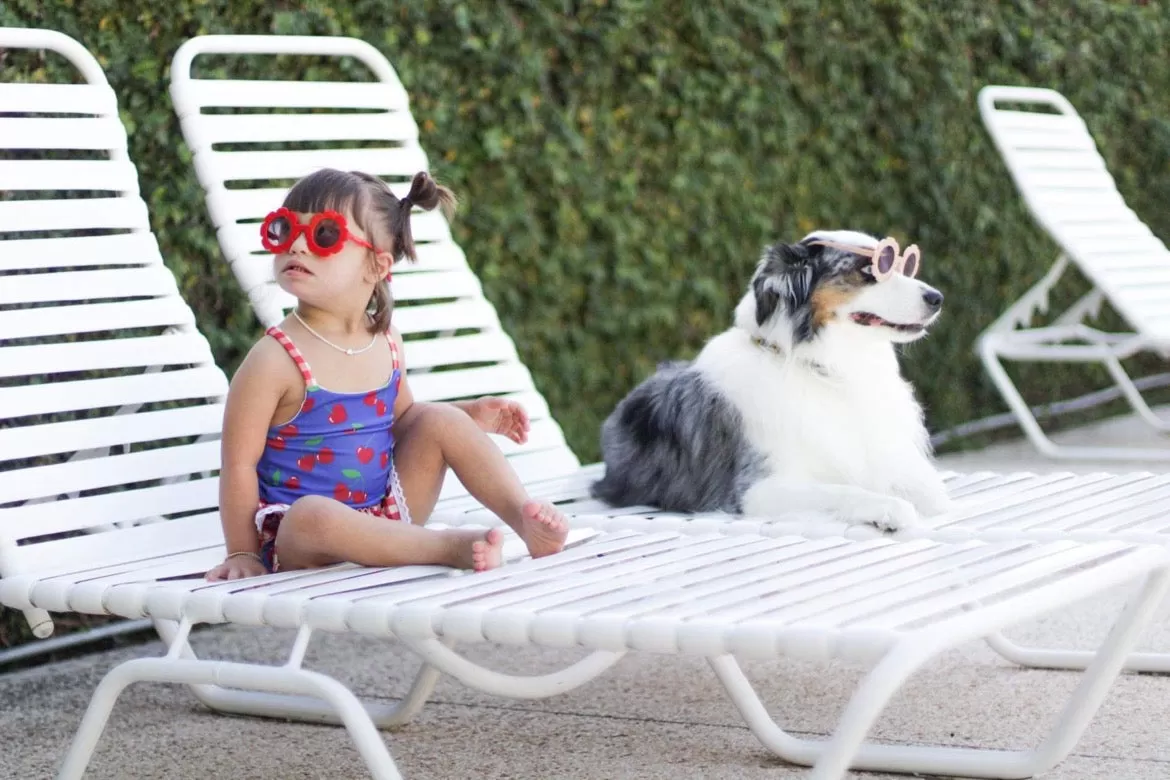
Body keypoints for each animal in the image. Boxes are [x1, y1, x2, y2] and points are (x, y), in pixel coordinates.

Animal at [594, 226, 950, 530]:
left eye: (904, 265)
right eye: (869, 270)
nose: (937, 298)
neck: (822, 368)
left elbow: (932, 491)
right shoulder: (757, 489)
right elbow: (841, 490)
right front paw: (890, 508)